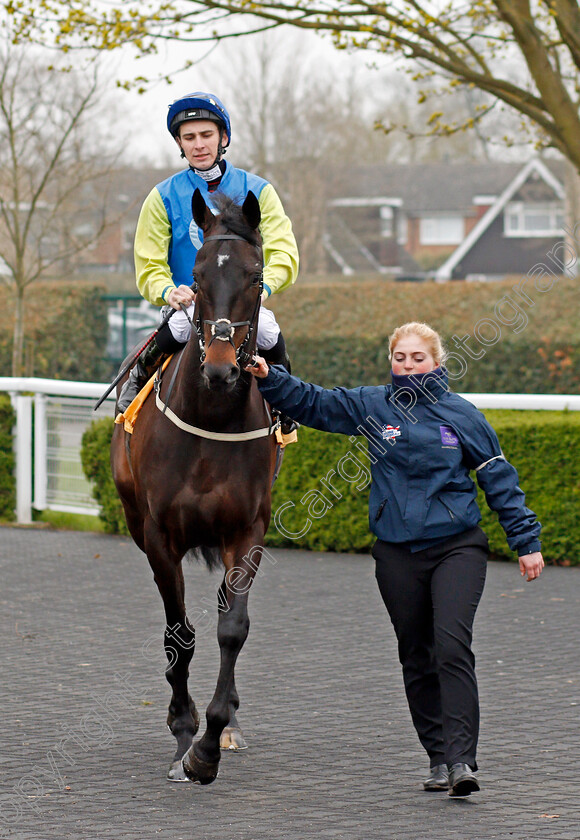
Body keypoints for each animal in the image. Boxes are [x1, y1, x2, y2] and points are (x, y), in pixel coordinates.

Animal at [111, 187, 280, 784]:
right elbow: (177, 634)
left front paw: (211, 740)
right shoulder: (161, 537)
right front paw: (184, 732)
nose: (223, 368)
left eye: (256, 276)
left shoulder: (247, 530)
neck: (213, 420)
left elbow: (232, 627)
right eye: (199, 276)